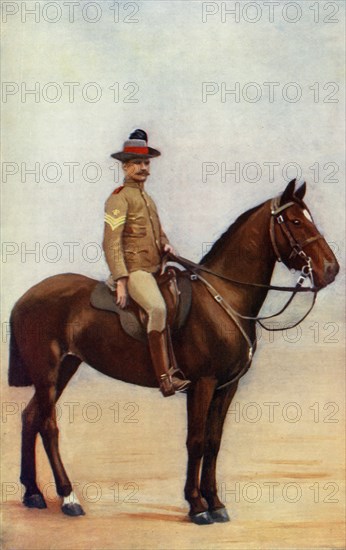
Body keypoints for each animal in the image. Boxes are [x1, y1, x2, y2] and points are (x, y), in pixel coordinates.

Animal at [7, 181, 338, 528]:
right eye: (296, 221)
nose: (331, 269)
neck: (224, 296)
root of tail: (25, 297)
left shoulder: (226, 387)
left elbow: (213, 442)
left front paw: (215, 502)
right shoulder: (203, 384)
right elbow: (196, 441)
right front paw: (197, 506)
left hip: (65, 369)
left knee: (30, 417)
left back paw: (33, 493)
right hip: (47, 373)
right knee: (48, 426)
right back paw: (69, 497)